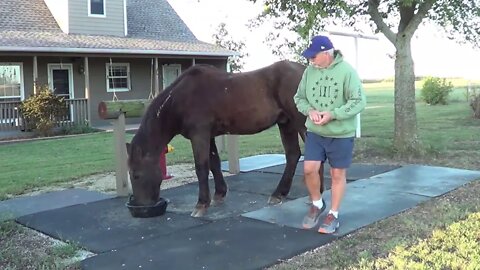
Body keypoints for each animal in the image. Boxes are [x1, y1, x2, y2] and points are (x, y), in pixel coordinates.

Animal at [126, 60, 322, 217]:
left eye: (136, 175)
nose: (141, 205)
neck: (179, 98)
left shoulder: (199, 135)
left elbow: (202, 168)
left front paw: (201, 204)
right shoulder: (209, 136)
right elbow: (214, 163)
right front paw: (219, 194)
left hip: (302, 123)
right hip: (286, 124)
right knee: (293, 155)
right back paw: (279, 194)